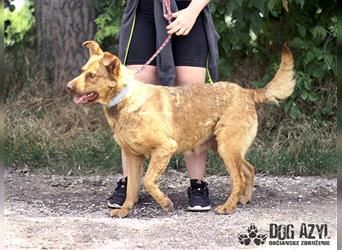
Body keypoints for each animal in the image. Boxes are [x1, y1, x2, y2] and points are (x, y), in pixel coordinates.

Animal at [66, 40, 294, 217]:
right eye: (82, 72)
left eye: (92, 76)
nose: (68, 87)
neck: (126, 100)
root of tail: (247, 92)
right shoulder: (132, 157)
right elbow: (131, 188)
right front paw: (125, 210)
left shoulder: (164, 148)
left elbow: (148, 181)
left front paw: (165, 203)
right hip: (223, 147)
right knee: (248, 169)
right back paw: (244, 199)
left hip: (227, 148)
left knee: (238, 178)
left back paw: (228, 206)